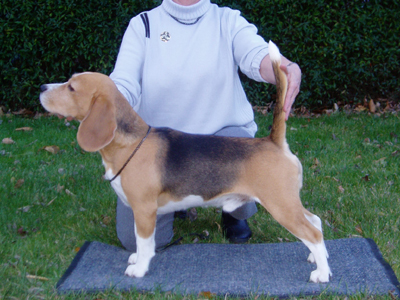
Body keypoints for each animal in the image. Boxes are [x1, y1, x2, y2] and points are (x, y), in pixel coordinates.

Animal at [39, 41, 332, 282]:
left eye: (71, 87)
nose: (41, 87)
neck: (131, 142)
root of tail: (273, 141)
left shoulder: (144, 210)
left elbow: (143, 242)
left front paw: (139, 268)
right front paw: (136, 260)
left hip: (281, 205)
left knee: (313, 233)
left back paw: (322, 274)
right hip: (289, 202)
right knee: (315, 220)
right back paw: (317, 259)